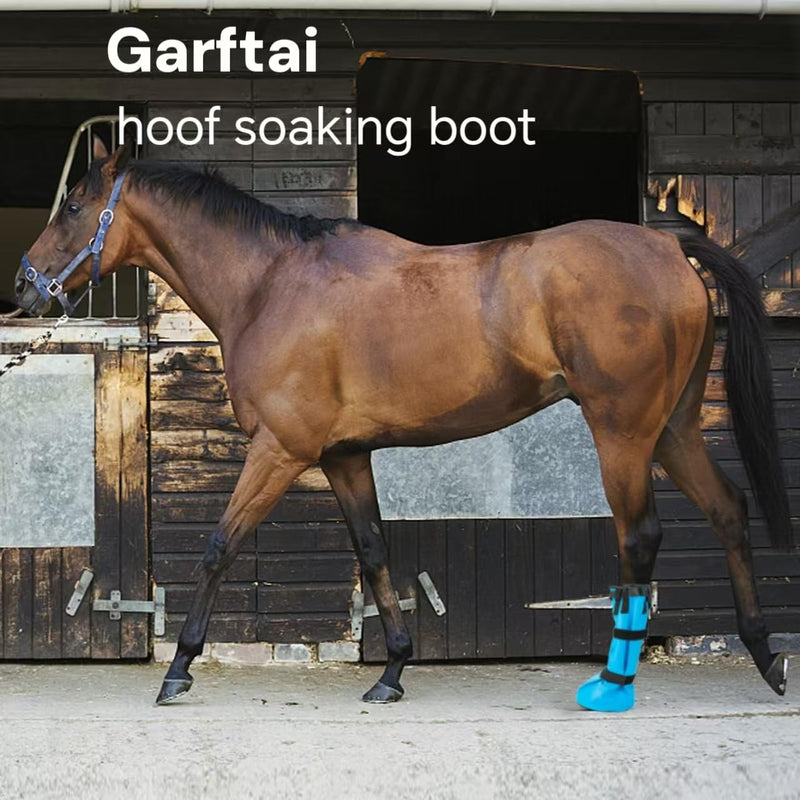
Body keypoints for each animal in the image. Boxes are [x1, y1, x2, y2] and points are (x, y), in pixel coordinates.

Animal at [15, 139, 792, 706]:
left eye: (75, 205)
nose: (25, 283)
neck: (270, 285)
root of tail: (668, 248)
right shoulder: (343, 455)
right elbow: (374, 550)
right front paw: (391, 671)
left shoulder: (280, 451)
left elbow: (218, 547)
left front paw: (179, 668)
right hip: (673, 431)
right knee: (728, 510)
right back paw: (764, 656)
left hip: (623, 432)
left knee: (640, 539)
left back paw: (614, 682)